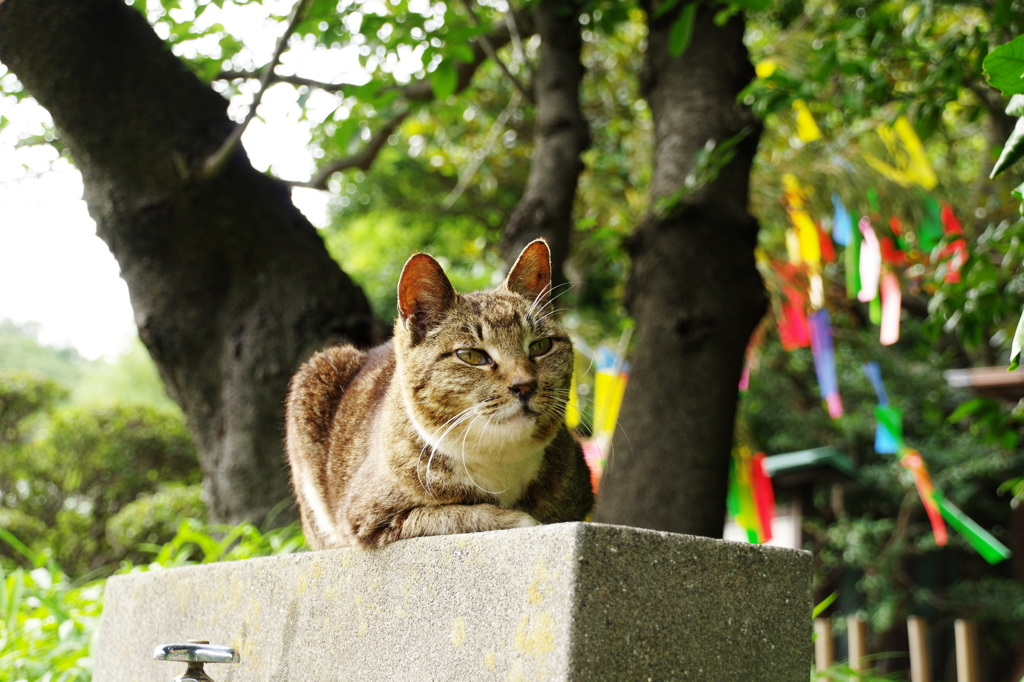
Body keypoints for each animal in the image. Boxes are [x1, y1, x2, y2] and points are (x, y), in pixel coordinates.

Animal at [284, 238, 598, 548]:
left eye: (540, 346)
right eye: (472, 356)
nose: (525, 385)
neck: (499, 457)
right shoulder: (369, 517)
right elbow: (451, 515)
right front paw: (516, 518)